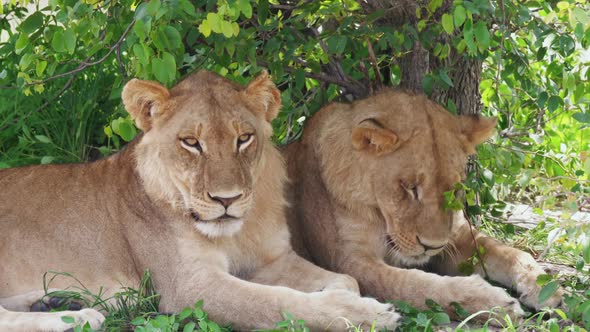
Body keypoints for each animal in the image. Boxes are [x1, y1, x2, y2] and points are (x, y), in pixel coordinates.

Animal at [0, 71, 402, 330]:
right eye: (191, 142)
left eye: (244, 138)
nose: (227, 199)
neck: (236, 232)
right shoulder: (188, 287)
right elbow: (274, 302)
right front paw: (366, 314)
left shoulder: (272, 259)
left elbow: (346, 280)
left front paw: (344, 296)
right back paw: (78, 317)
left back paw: (59, 301)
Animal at [286, 89, 564, 320]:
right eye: (409, 187)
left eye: (454, 189)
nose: (432, 246)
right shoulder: (349, 261)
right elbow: (416, 285)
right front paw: (490, 301)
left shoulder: (457, 237)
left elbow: (510, 253)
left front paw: (544, 286)